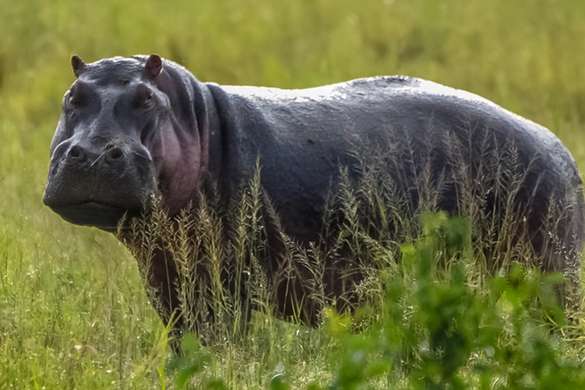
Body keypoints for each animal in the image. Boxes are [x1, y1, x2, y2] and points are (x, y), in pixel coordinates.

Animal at [42, 54, 584, 338]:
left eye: (146, 99)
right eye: (73, 97)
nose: (93, 153)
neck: (194, 117)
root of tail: (555, 145)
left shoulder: (223, 287)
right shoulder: (170, 280)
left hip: (549, 267)